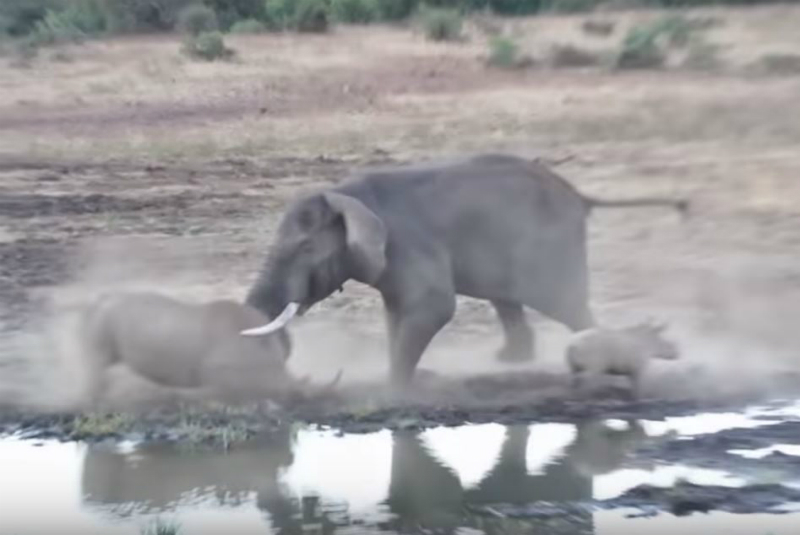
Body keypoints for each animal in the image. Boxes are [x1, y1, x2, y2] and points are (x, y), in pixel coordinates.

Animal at [241, 153, 684, 388]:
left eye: (305, 247)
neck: (344, 193)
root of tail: (579, 195)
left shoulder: (409, 244)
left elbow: (434, 307)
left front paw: (398, 385)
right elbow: (396, 314)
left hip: (552, 249)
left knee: (567, 306)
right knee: (508, 299)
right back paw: (510, 362)